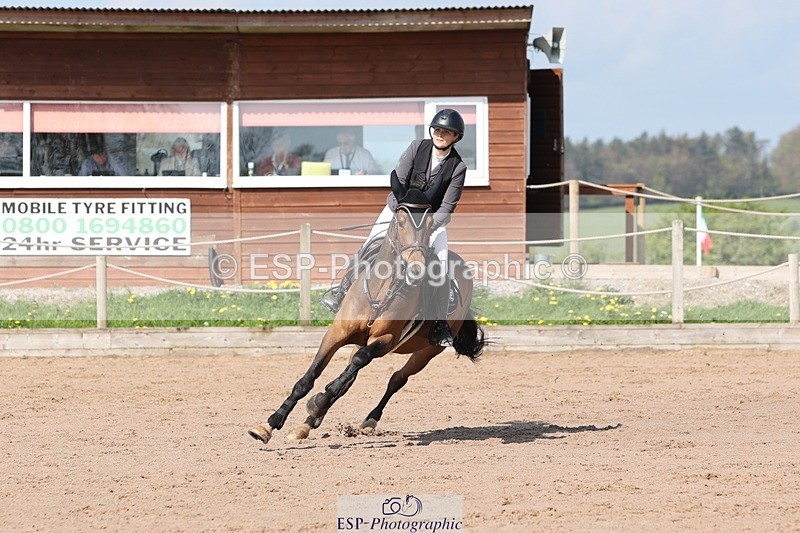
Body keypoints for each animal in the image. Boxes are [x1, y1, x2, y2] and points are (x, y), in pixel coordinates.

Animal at [248, 185, 487, 445]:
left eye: (431, 222)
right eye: (400, 222)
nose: (416, 268)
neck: (380, 291)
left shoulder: (385, 341)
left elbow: (359, 362)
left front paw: (318, 401)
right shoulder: (337, 333)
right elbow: (308, 379)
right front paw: (269, 424)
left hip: (428, 351)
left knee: (396, 378)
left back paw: (366, 418)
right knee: (351, 378)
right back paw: (307, 424)